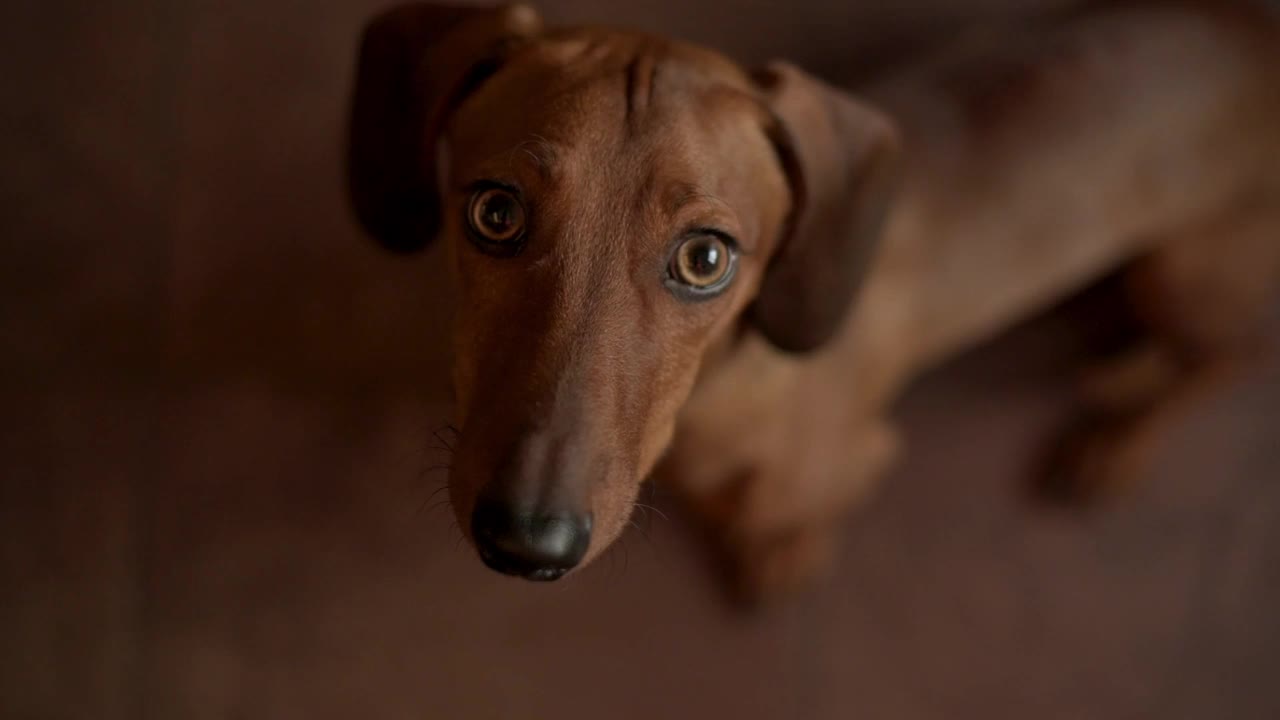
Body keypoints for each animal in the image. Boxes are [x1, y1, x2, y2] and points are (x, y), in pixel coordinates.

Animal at [343, 0, 1280, 594]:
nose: (526, 541)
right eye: (494, 212)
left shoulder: (856, 458)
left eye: (706, 258)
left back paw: (1122, 428)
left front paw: (777, 552)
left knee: (1233, 356)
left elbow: (780, 514)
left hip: (1184, 275)